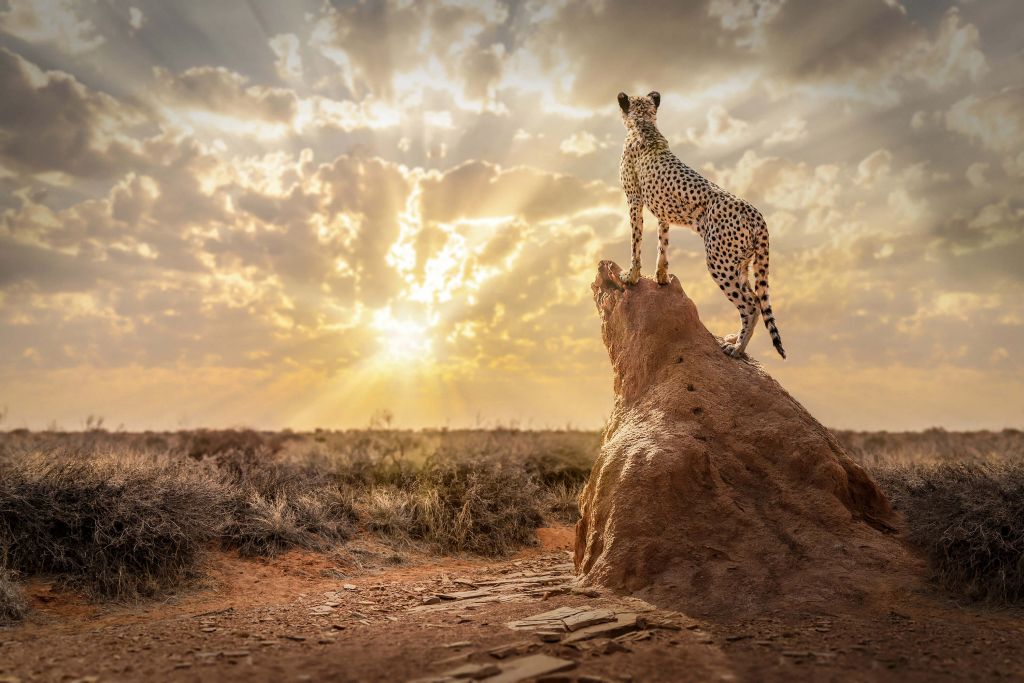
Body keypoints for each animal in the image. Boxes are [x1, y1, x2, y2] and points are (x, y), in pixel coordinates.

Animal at [617, 90, 785, 359]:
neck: (644, 125)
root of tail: (755, 212)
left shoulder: (634, 200)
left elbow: (636, 241)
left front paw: (631, 276)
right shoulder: (663, 211)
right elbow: (662, 244)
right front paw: (661, 277)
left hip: (720, 262)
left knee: (750, 305)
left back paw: (737, 348)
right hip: (740, 262)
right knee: (756, 299)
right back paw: (735, 339)